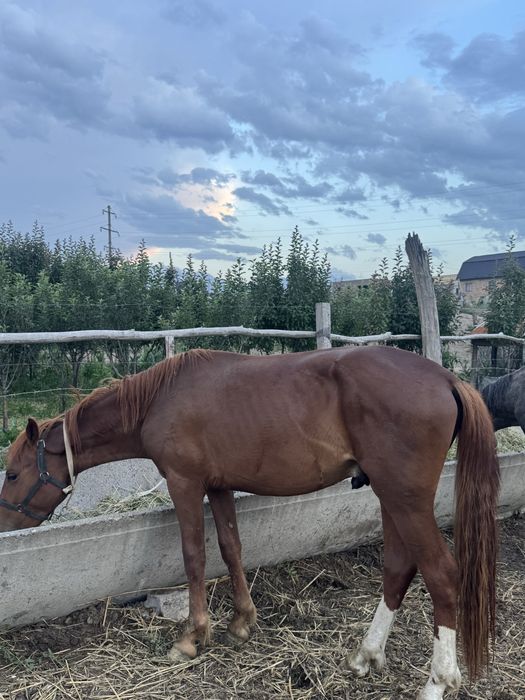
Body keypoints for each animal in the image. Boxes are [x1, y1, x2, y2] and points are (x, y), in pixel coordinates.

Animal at [0, 346, 499, 700]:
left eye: (11, 473)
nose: (5, 523)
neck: (161, 399)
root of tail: (448, 379)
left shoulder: (185, 483)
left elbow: (195, 555)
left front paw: (192, 637)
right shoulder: (219, 486)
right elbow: (230, 548)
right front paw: (241, 622)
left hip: (405, 500)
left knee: (442, 575)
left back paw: (438, 682)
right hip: (390, 498)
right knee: (398, 568)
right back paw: (365, 655)